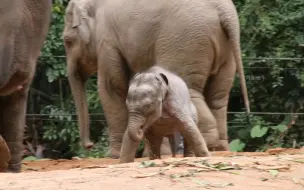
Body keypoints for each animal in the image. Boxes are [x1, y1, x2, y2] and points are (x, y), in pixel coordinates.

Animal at [61, 0, 249, 159]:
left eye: (67, 41)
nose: (89, 145)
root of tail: (224, 11)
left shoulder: (106, 40)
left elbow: (111, 86)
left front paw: (112, 156)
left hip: (185, 39)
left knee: (191, 90)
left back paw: (206, 144)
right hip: (223, 50)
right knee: (218, 97)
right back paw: (219, 147)